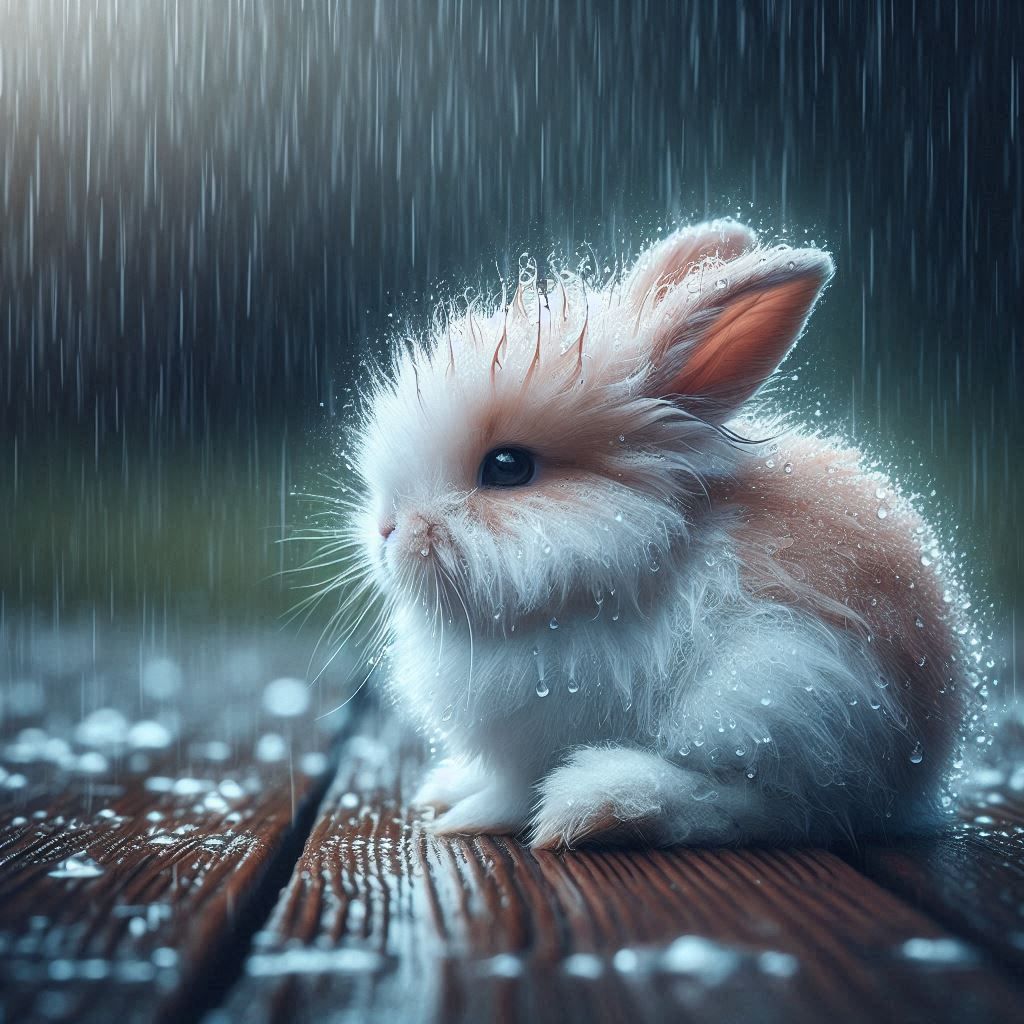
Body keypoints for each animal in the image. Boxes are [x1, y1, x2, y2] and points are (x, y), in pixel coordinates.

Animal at [347, 220, 975, 849]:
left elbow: (513, 790)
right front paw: (448, 791)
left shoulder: (534, 741)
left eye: (507, 467)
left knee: (759, 808)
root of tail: (915, 780)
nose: (386, 530)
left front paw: (466, 817)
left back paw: (597, 805)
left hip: (771, 703)